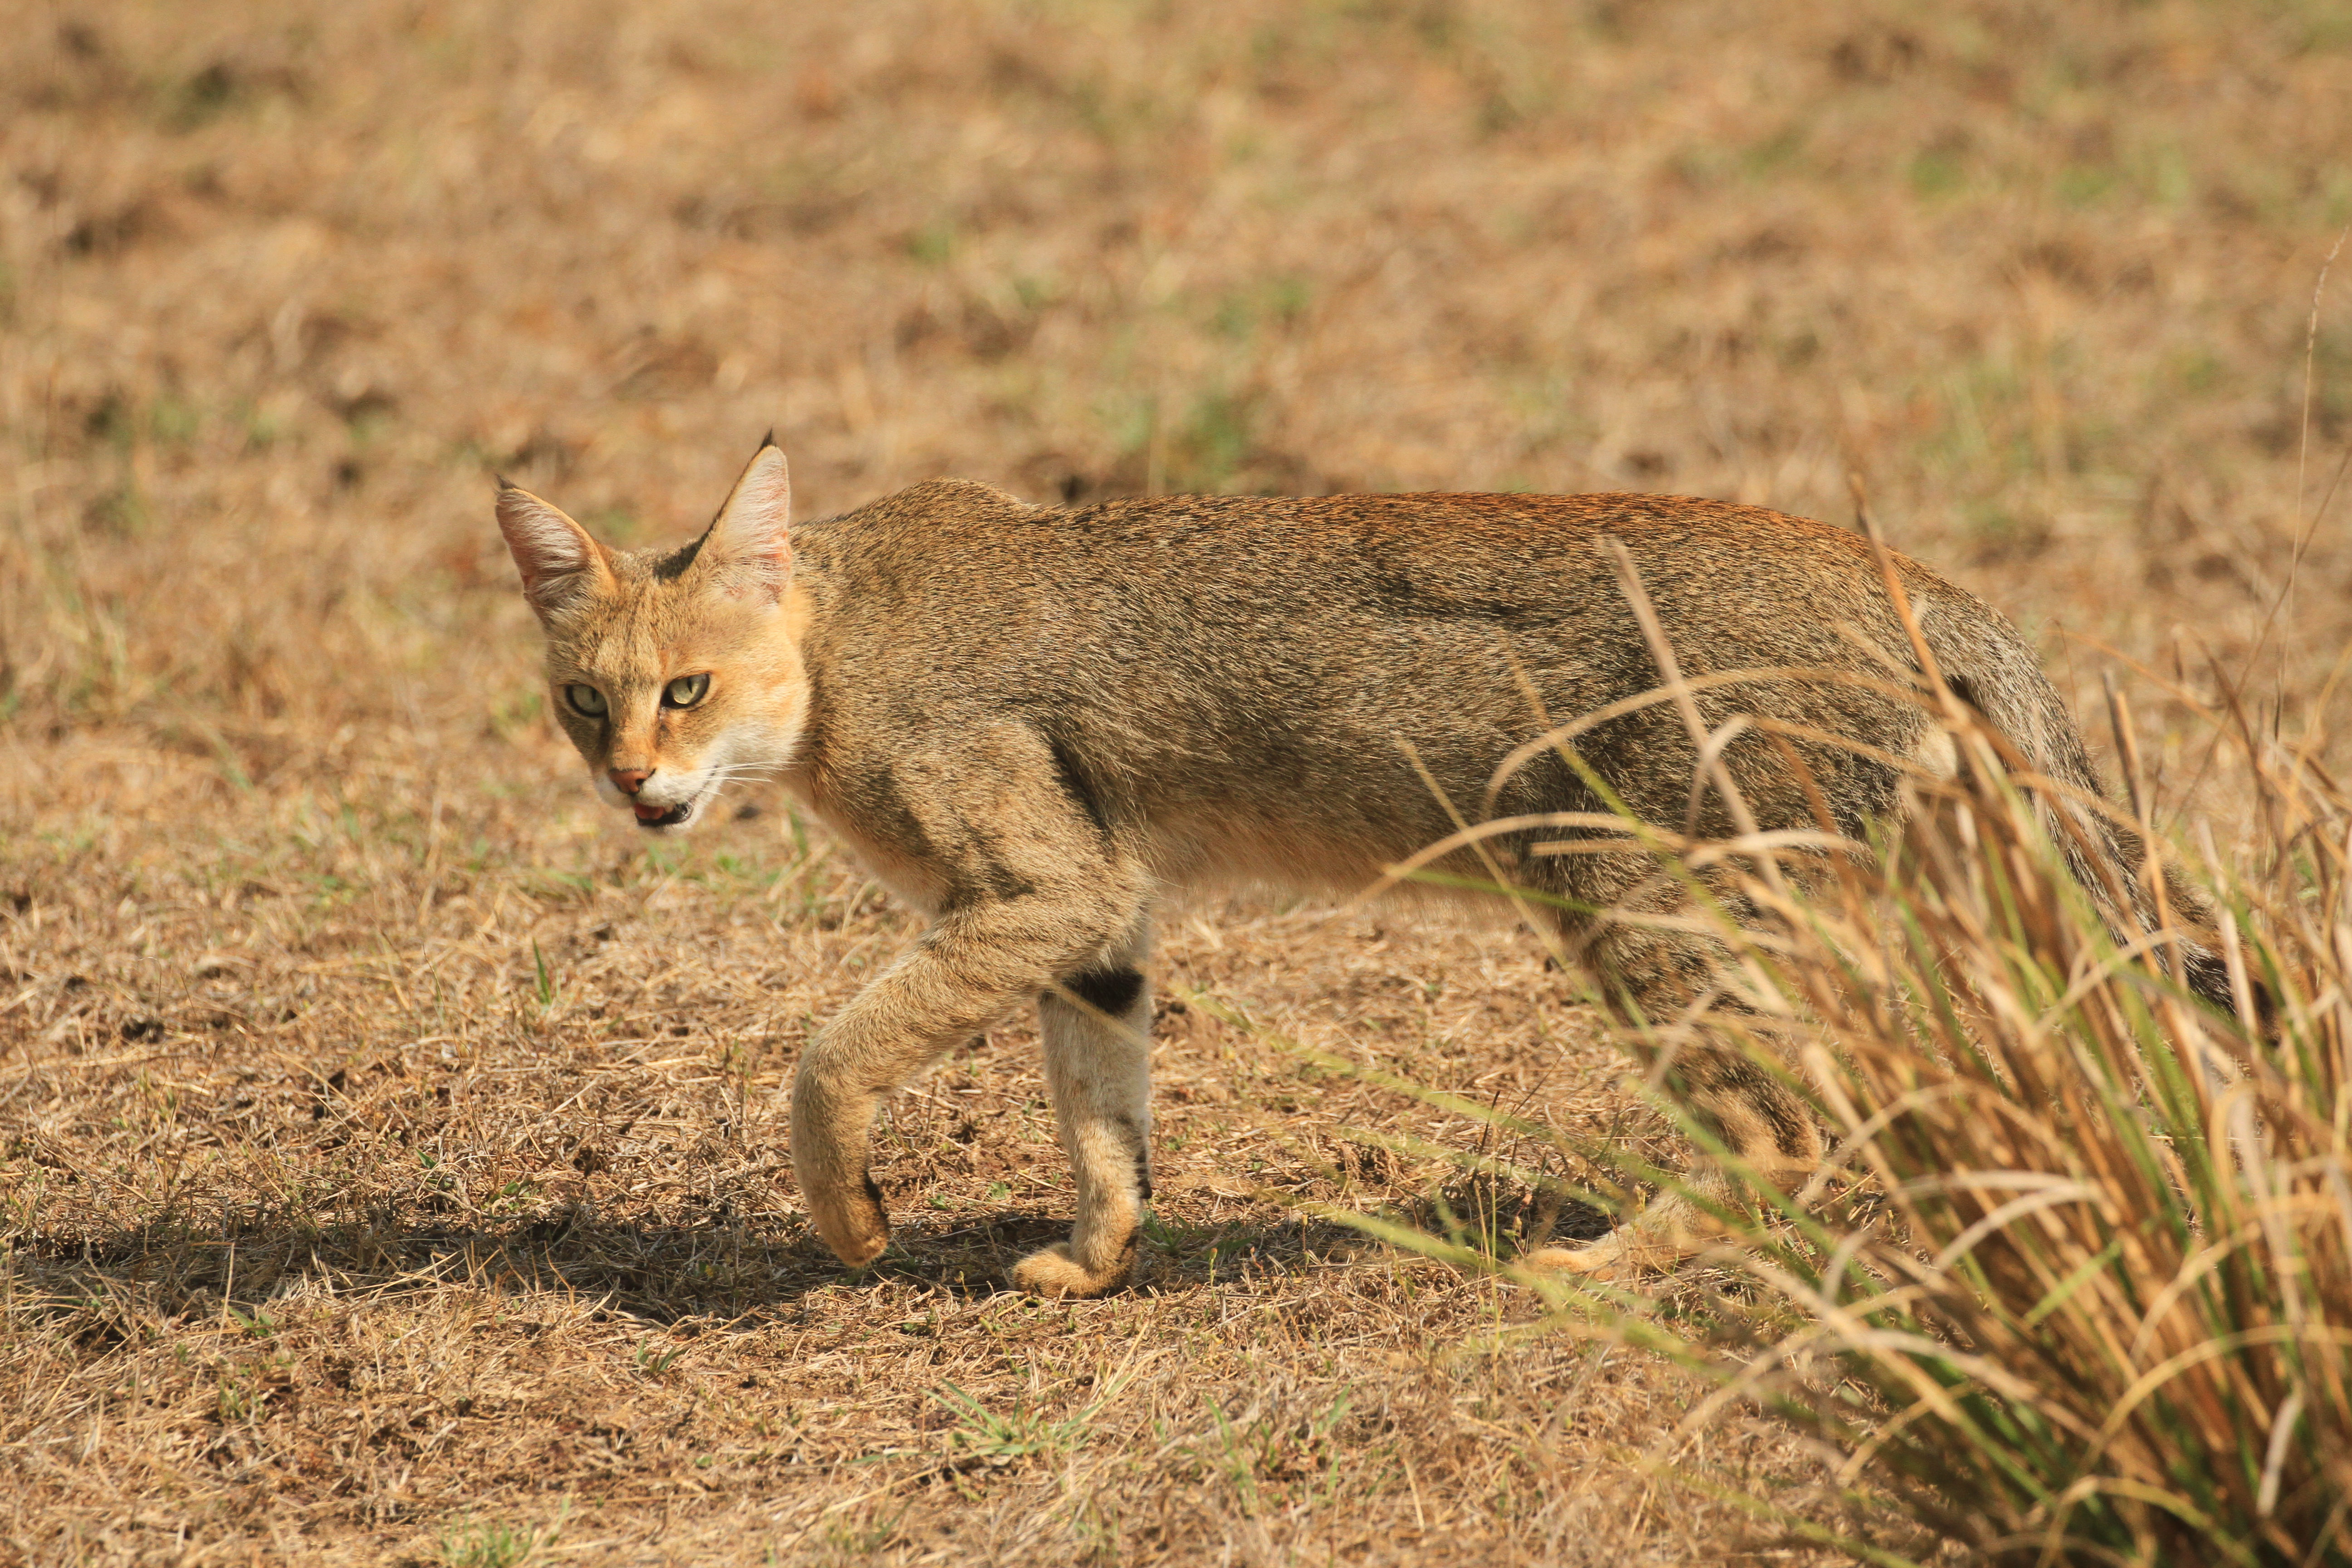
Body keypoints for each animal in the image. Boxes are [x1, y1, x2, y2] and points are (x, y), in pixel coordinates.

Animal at [496, 442, 2220, 1298]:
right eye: (584, 701)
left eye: (684, 693)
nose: (633, 785)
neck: (845, 649)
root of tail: (1897, 566)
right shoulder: (1101, 920)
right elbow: (1106, 1123)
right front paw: (1097, 1263)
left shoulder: (1038, 894)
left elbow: (824, 1058)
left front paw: (852, 1226)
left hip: (1620, 901)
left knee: (1791, 1129)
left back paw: (1608, 1264)